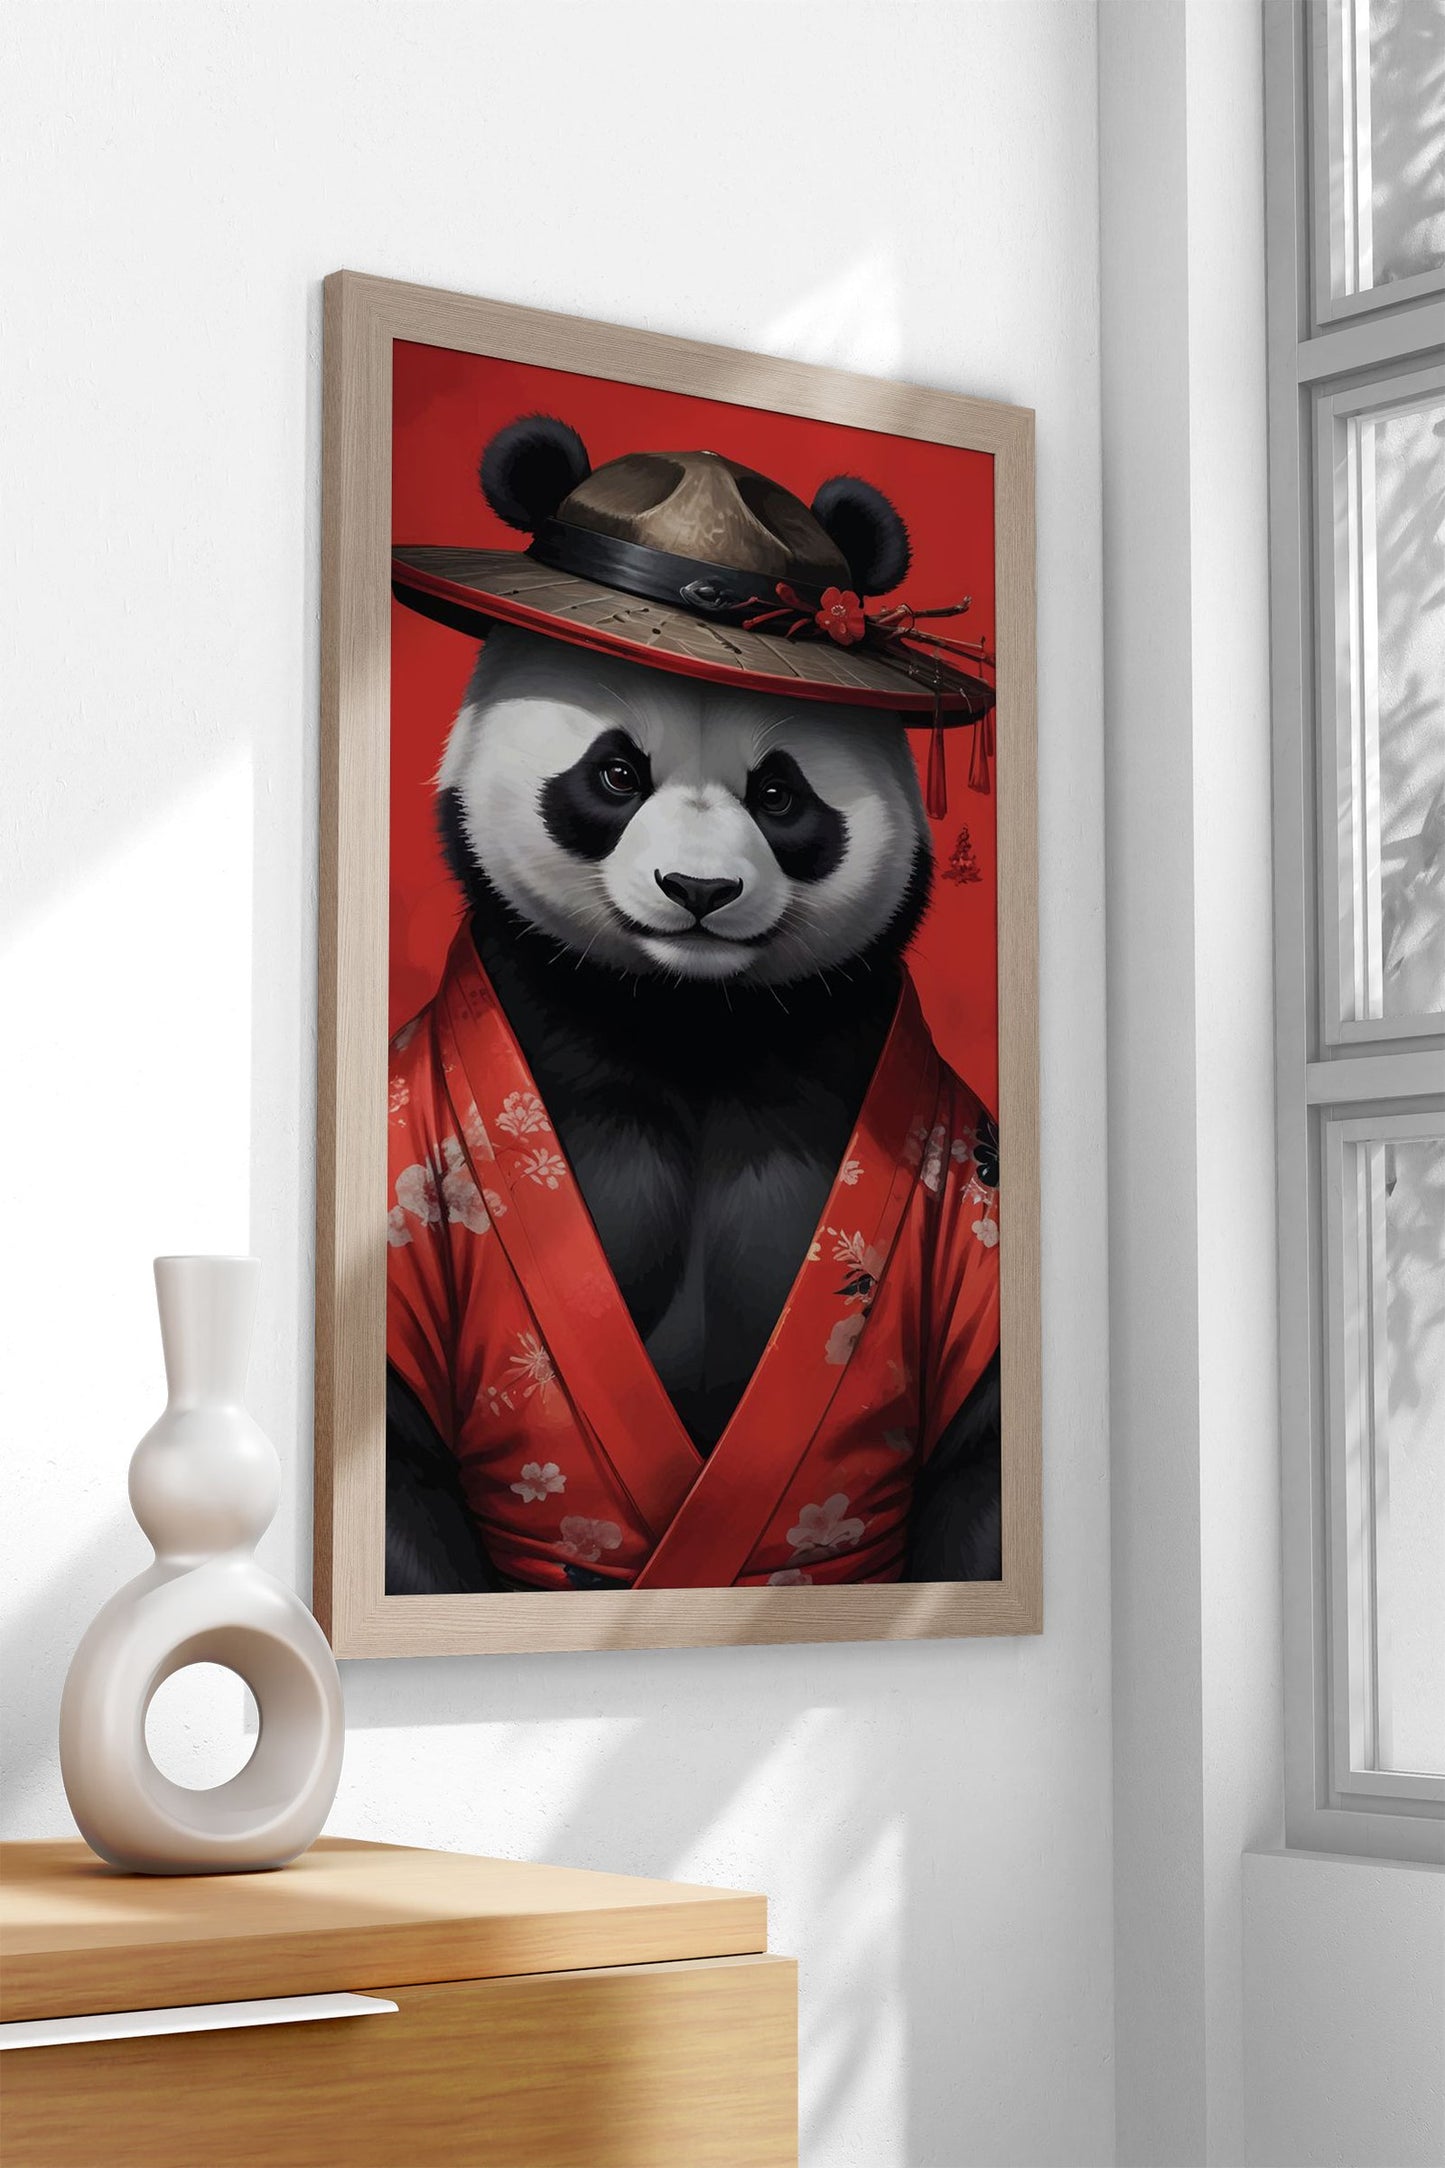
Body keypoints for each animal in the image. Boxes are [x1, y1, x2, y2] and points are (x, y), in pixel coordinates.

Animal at [385, 621, 1002, 1593]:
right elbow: (397, 1470)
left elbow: (981, 1457)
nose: (699, 891)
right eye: (615, 774)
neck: (690, 1019)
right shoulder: (415, 1172)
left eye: (779, 793)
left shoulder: (951, 1163)